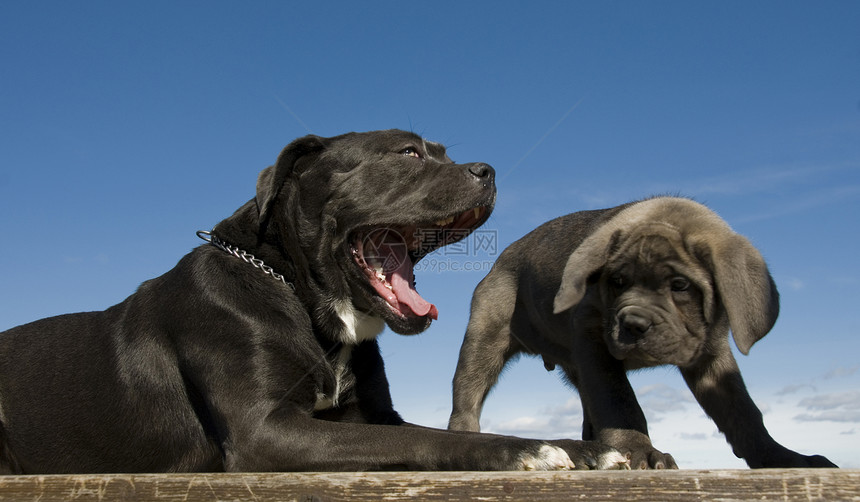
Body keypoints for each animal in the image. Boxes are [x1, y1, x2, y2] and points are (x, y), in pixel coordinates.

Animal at [0, 130, 624, 474]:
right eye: (408, 153)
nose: (488, 170)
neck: (293, 291)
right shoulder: (267, 430)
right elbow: (422, 439)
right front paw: (531, 448)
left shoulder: (371, 414)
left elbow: (441, 432)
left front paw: (586, 449)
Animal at [450, 197, 840, 470]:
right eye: (617, 282)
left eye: (680, 285)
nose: (633, 324)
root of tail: (502, 258)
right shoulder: (595, 344)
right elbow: (620, 402)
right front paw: (641, 451)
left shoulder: (712, 357)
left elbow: (743, 411)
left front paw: (782, 457)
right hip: (485, 340)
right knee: (468, 395)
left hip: (575, 367)